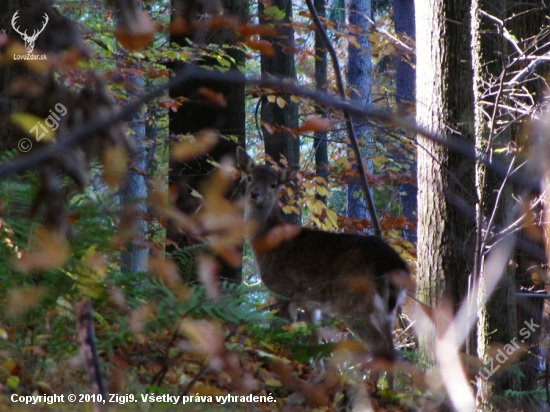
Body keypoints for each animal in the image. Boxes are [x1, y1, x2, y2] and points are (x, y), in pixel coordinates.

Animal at [238, 148, 414, 384]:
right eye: (249, 177)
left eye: (274, 184)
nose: (255, 194)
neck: (268, 244)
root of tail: (393, 265)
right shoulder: (311, 303)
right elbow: (315, 341)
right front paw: (317, 373)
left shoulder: (282, 289)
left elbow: (288, 330)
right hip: (388, 311)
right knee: (393, 350)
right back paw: (388, 389)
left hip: (354, 303)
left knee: (380, 346)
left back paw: (372, 388)